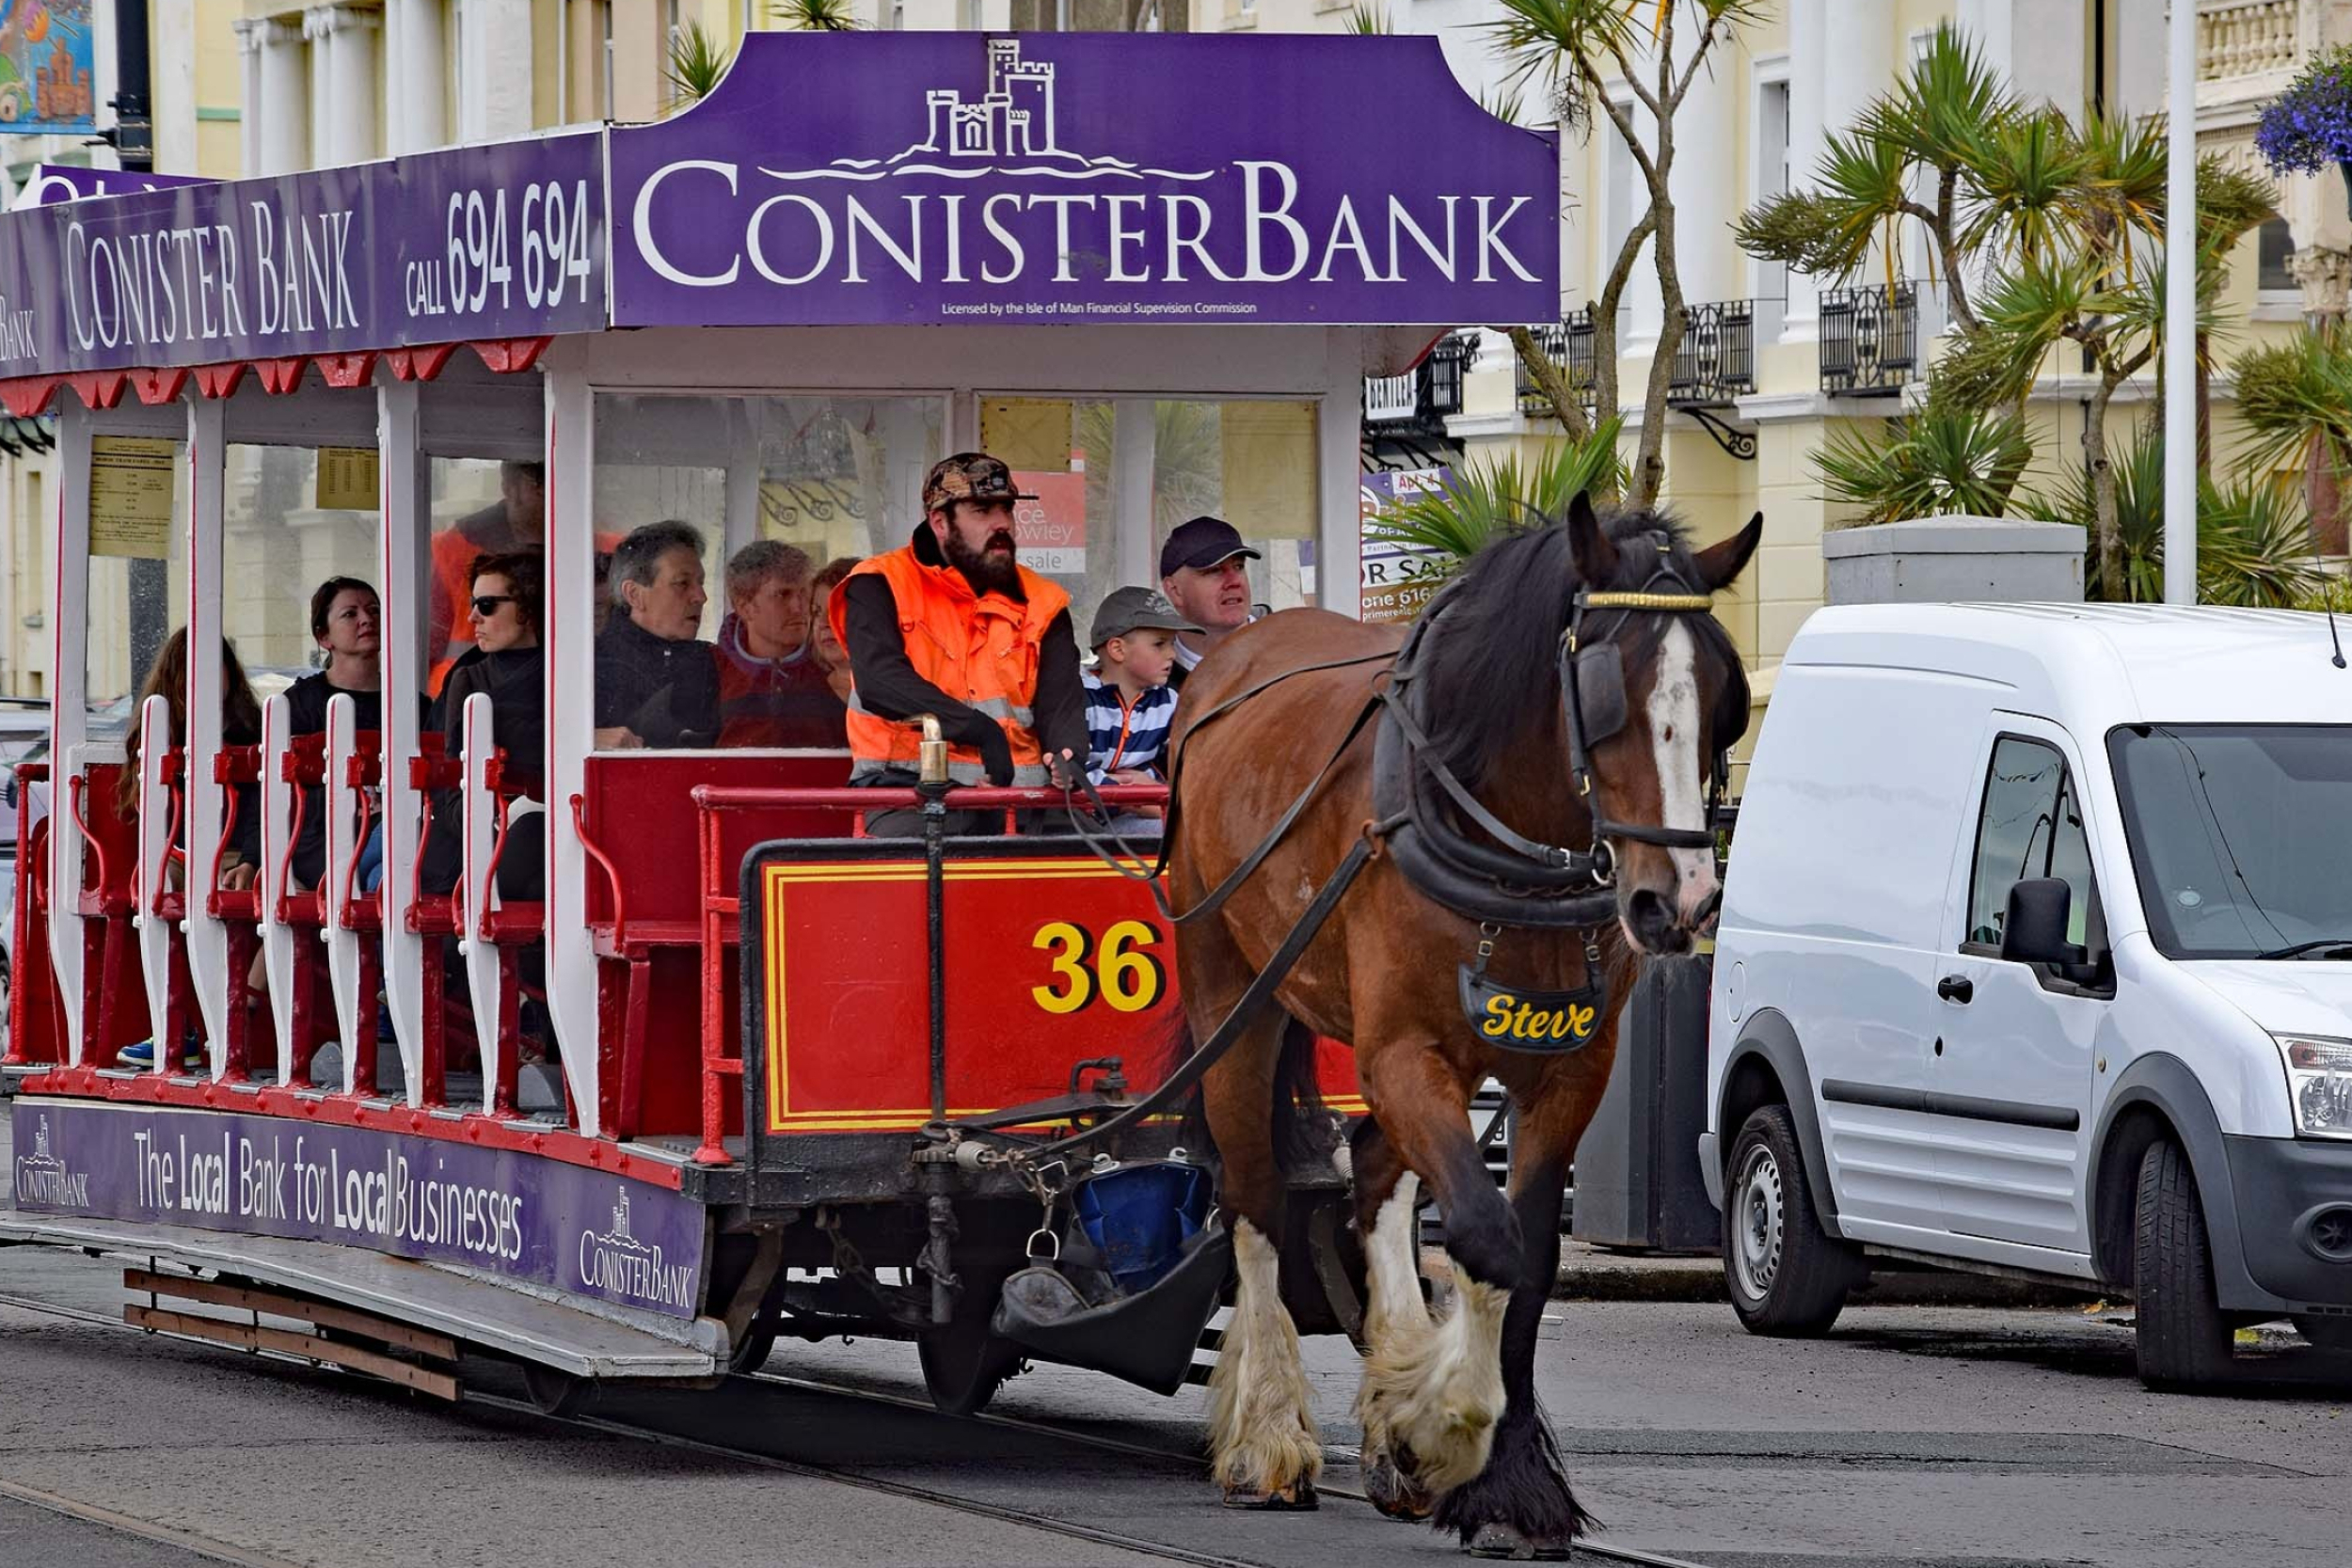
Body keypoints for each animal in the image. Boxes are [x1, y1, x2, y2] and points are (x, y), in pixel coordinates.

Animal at [1167, 496, 1759, 1551]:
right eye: (1605, 690)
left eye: (1723, 697)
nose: (1682, 901)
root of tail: (1230, 657)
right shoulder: (1402, 1051)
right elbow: (1484, 1234)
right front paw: (1444, 1425)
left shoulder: (1569, 1071)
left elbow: (1530, 1256)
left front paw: (1501, 1478)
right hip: (1233, 996)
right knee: (1255, 1195)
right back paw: (1267, 1431)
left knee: (1371, 1172)